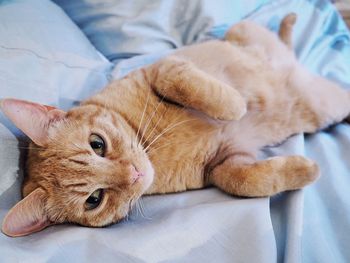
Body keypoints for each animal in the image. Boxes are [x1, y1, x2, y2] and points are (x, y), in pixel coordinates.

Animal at [0, 13, 350, 238]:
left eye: (97, 144)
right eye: (94, 200)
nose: (134, 174)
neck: (152, 145)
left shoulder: (162, 67)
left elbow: (179, 80)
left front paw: (236, 104)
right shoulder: (224, 164)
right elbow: (244, 181)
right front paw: (305, 169)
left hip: (244, 29)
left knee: (282, 44)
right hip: (329, 103)